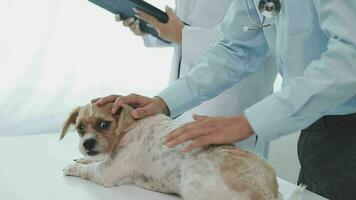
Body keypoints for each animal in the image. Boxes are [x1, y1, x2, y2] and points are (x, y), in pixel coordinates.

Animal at [59, 102, 302, 199]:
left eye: (103, 125)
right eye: (80, 128)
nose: (87, 143)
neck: (132, 126)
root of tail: (264, 190)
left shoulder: (108, 173)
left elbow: (91, 169)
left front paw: (73, 167)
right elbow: (94, 161)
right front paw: (81, 160)